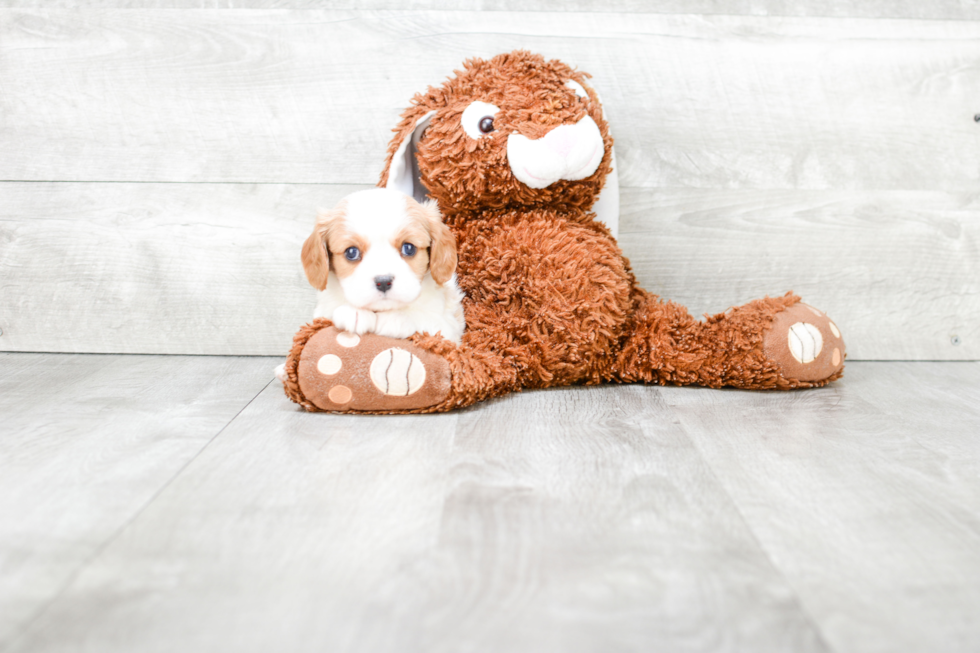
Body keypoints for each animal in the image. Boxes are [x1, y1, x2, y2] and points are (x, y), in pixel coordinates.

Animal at [300, 187, 466, 342]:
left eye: (409, 248)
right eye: (351, 252)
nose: (384, 282)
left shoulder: (449, 328)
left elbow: (428, 320)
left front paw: (398, 318)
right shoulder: (321, 313)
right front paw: (353, 312)